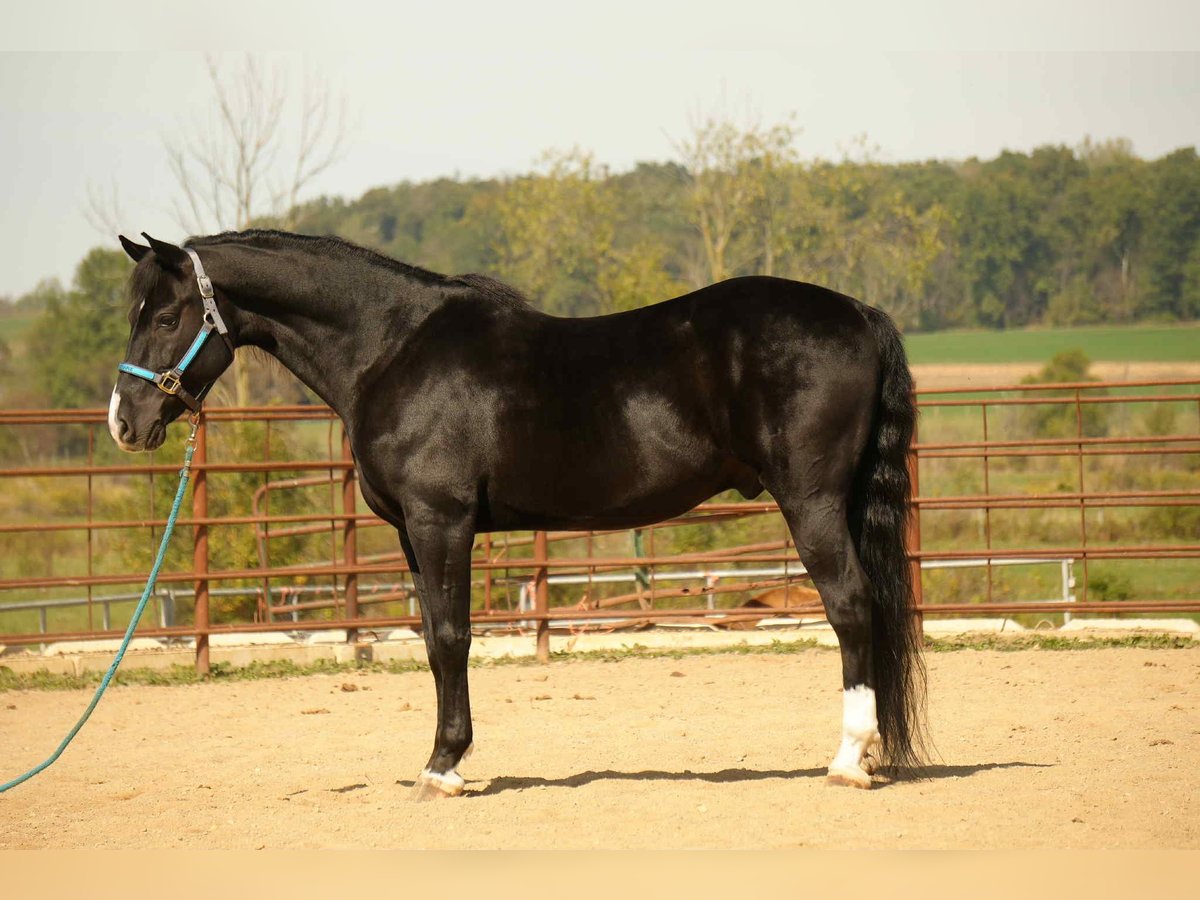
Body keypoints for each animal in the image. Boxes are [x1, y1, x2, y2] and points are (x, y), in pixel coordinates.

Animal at [109, 229, 926, 799]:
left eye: (168, 315)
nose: (124, 421)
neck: (391, 349)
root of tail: (857, 312)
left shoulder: (441, 521)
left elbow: (450, 639)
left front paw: (442, 768)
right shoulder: (412, 535)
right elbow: (436, 641)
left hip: (811, 502)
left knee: (851, 607)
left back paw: (848, 760)